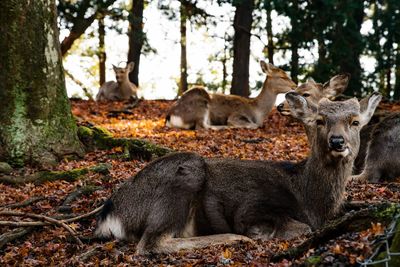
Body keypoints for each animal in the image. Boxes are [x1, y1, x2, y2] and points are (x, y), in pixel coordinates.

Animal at [94, 92, 382, 255]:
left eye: (355, 122)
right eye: (319, 121)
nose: (337, 141)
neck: (311, 201)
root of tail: (111, 211)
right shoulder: (252, 210)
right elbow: (300, 228)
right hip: (186, 174)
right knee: (151, 243)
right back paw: (232, 238)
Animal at [165, 62, 296, 131]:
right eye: (282, 77)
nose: (295, 85)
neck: (257, 111)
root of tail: (170, 117)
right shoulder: (236, 115)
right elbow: (254, 125)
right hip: (200, 104)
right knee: (201, 126)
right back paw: (225, 127)